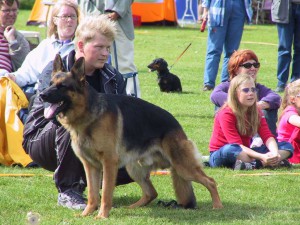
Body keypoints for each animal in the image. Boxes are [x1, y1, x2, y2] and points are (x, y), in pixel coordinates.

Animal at [40, 55, 223, 219]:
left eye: (62, 86)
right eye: (50, 84)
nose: (42, 95)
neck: (88, 114)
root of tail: (176, 124)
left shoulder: (108, 164)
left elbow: (106, 193)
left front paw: (102, 216)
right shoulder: (90, 166)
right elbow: (92, 194)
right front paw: (86, 214)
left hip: (183, 167)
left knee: (211, 181)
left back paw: (217, 206)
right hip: (135, 168)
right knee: (151, 193)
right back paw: (133, 207)